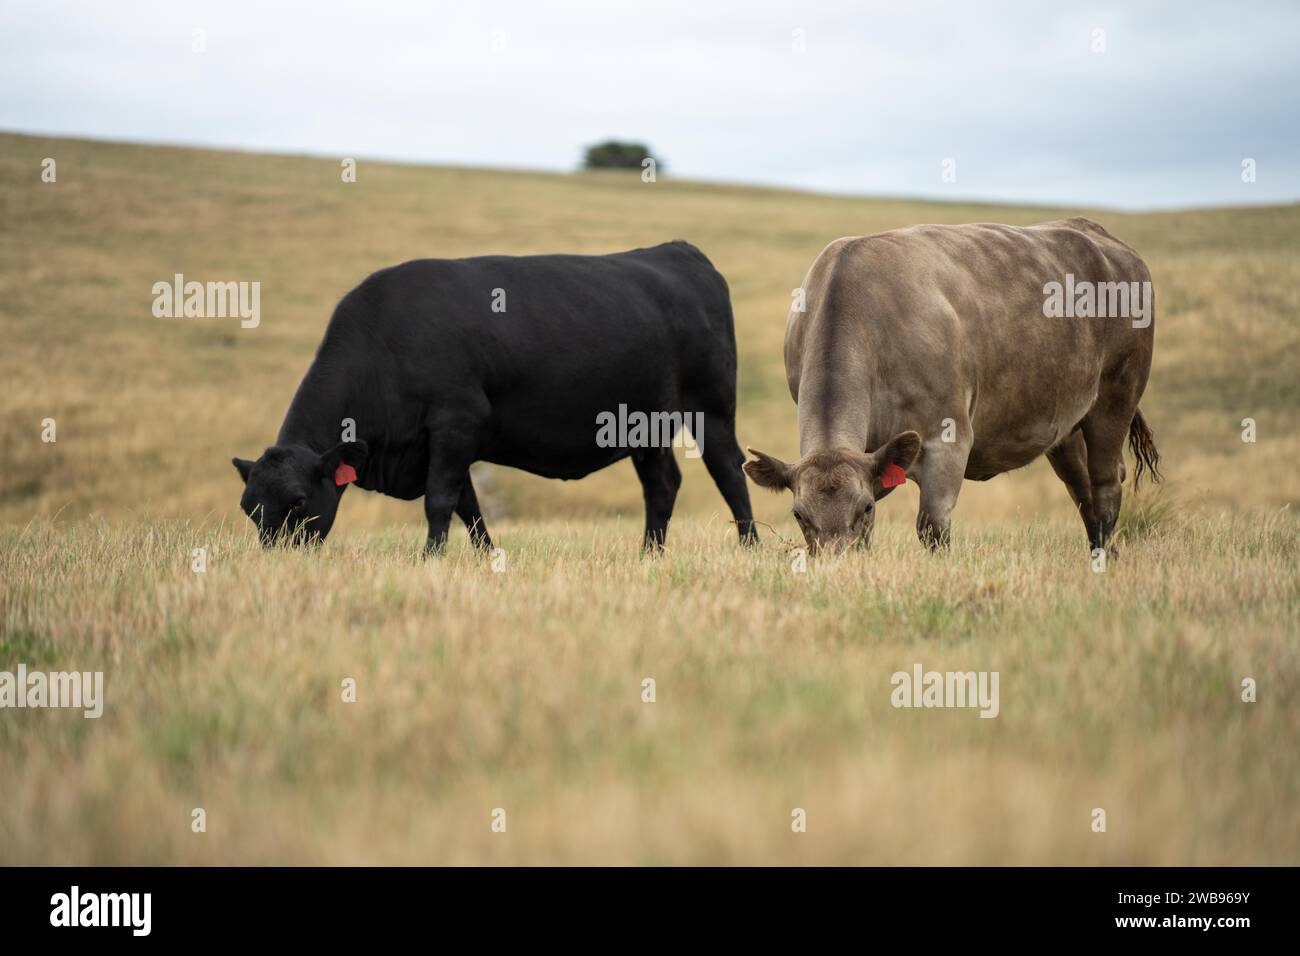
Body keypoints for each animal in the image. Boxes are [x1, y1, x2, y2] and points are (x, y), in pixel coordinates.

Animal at [232, 241, 759, 553]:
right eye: (248, 507)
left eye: (299, 500)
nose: (275, 559)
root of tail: (678, 251)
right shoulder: (443, 443)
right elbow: (468, 505)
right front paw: (485, 557)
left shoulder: (455, 424)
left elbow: (440, 501)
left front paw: (429, 560)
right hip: (647, 425)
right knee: (662, 484)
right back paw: (650, 554)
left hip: (711, 408)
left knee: (729, 472)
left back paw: (750, 547)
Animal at [743, 218, 1161, 555]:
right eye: (799, 514)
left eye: (864, 507)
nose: (835, 560)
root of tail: (1097, 232)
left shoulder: (949, 437)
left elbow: (932, 528)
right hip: (1065, 423)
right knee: (1082, 488)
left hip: (1117, 393)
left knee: (1106, 481)